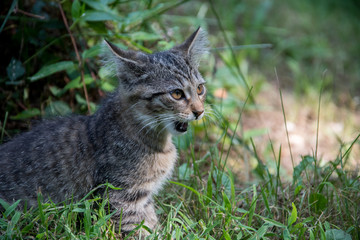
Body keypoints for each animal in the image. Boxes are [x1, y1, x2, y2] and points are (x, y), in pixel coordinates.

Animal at [0, 27, 208, 234]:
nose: (199, 111)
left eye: (200, 89)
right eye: (176, 94)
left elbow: (150, 222)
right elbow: (139, 229)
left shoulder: (141, 199)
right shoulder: (120, 196)